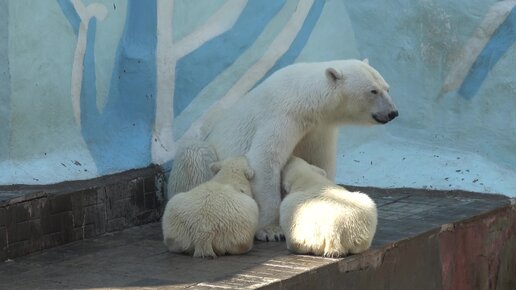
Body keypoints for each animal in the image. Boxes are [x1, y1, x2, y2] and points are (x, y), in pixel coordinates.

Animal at [169, 58, 400, 240]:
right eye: (373, 91)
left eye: (387, 88)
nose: (393, 113)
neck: (306, 99)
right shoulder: (282, 116)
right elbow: (265, 159)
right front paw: (271, 230)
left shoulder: (318, 128)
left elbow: (319, 161)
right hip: (205, 154)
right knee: (195, 155)